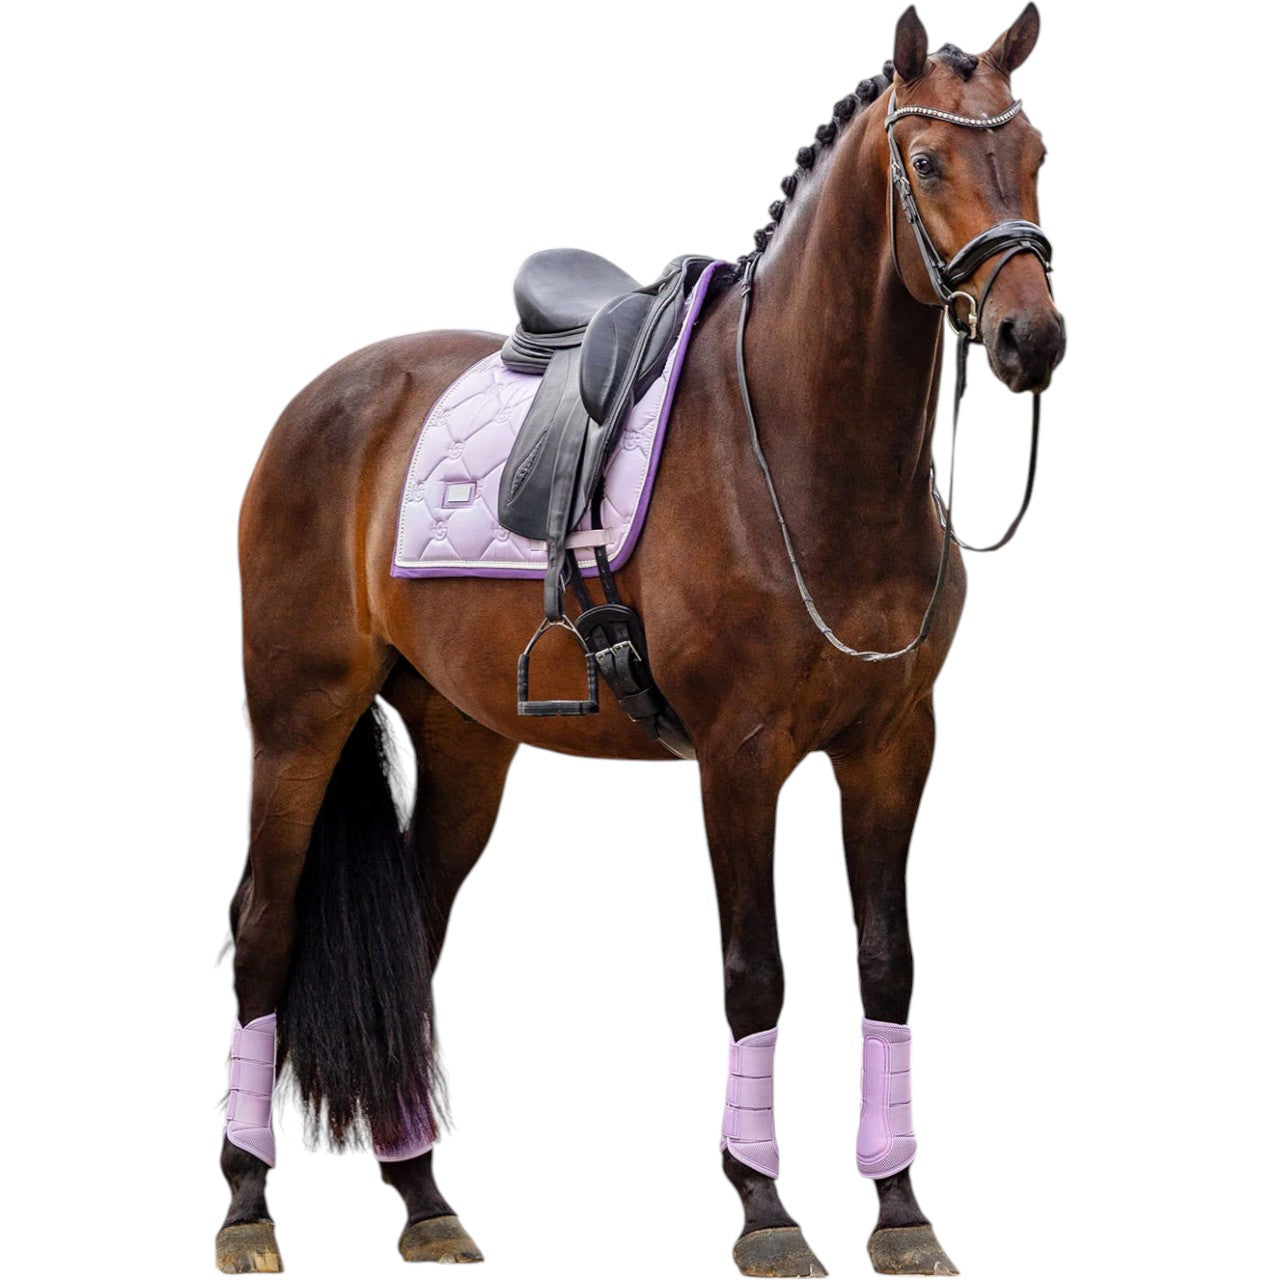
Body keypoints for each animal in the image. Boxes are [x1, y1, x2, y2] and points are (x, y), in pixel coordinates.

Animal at [217, 5, 1065, 1274]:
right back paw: (245, 1201)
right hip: (297, 715)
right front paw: (765, 1208)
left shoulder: (891, 747)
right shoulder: (737, 757)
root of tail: (327, 399)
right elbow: (754, 975)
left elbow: (887, 963)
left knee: (414, 931)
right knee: (263, 924)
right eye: (924, 163)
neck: (804, 452)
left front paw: (900, 1207)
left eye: (1037, 155)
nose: (1030, 337)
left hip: (463, 742)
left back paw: (423, 1194)